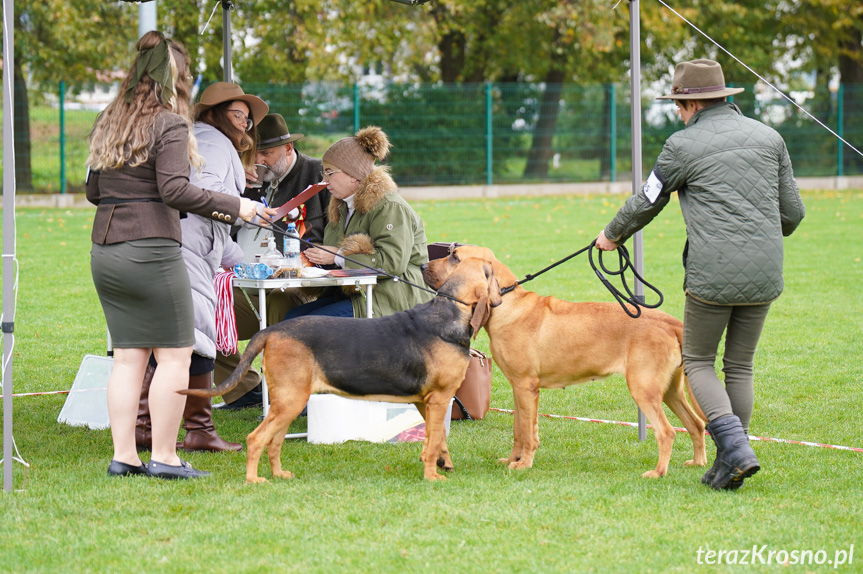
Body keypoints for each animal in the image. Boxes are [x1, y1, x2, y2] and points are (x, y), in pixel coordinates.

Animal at [180, 258, 502, 484]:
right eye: (491, 271)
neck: (450, 311)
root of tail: (272, 330)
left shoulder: (427, 402)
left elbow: (439, 438)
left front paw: (443, 464)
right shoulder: (439, 398)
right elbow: (433, 442)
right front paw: (432, 476)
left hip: (287, 404)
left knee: (274, 442)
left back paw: (279, 474)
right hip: (289, 401)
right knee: (256, 439)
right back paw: (254, 480)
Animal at [420, 245, 708, 480]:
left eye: (454, 256)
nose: (422, 265)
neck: (507, 303)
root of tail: (671, 321)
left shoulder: (526, 386)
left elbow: (528, 432)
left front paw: (524, 464)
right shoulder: (519, 388)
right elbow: (519, 429)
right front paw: (513, 459)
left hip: (644, 388)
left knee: (667, 431)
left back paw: (658, 472)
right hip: (670, 390)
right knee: (696, 424)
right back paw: (697, 462)